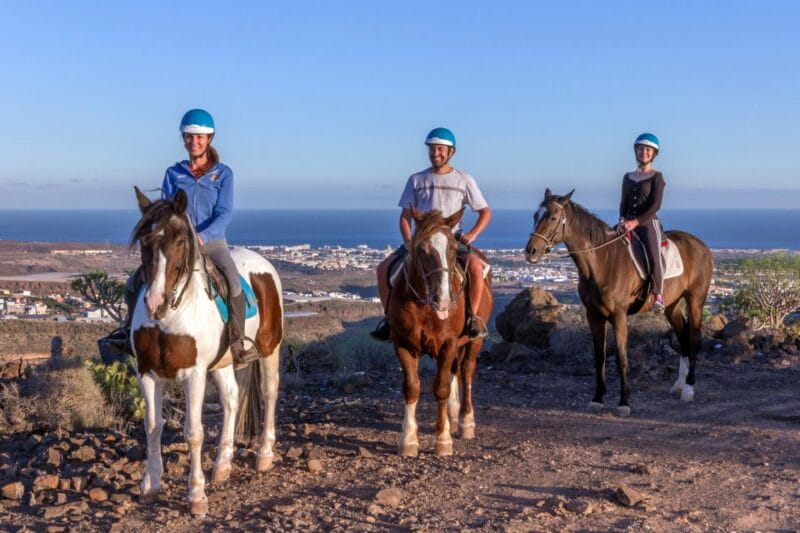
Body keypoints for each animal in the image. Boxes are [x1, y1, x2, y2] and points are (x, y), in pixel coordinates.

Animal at [130, 187, 283, 516]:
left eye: (180, 240)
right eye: (144, 240)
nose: (154, 301)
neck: (171, 315)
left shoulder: (194, 374)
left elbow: (194, 432)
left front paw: (196, 495)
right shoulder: (147, 373)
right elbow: (153, 426)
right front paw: (151, 485)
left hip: (270, 349)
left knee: (269, 392)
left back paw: (264, 454)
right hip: (223, 363)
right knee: (232, 399)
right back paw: (223, 465)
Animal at [387, 208, 493, 456]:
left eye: (453, 249)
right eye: (421, 250)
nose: (443, 300)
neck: (425, 305)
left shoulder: (448, 343)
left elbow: (441, 388)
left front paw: (443, 441)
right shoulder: (403, 344)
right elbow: (412, 387)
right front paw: (408, 440)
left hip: (473, 342)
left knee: (466, 373)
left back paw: (465, 421)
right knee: (454, 372)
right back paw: (452, 417)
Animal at [524, 189, 713, 416]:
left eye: (552, 217)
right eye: (535, 215)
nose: (531, 251)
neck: (601, 261)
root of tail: (700, 245)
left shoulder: (619, 316)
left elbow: (622, 358)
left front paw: (624, 402)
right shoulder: (594, 315)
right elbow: (599, 357)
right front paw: (597, 398)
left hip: (695, 300)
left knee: (693, 338)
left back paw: (688, 389)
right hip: (671, 305)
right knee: (683, 336)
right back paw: (678, 385)